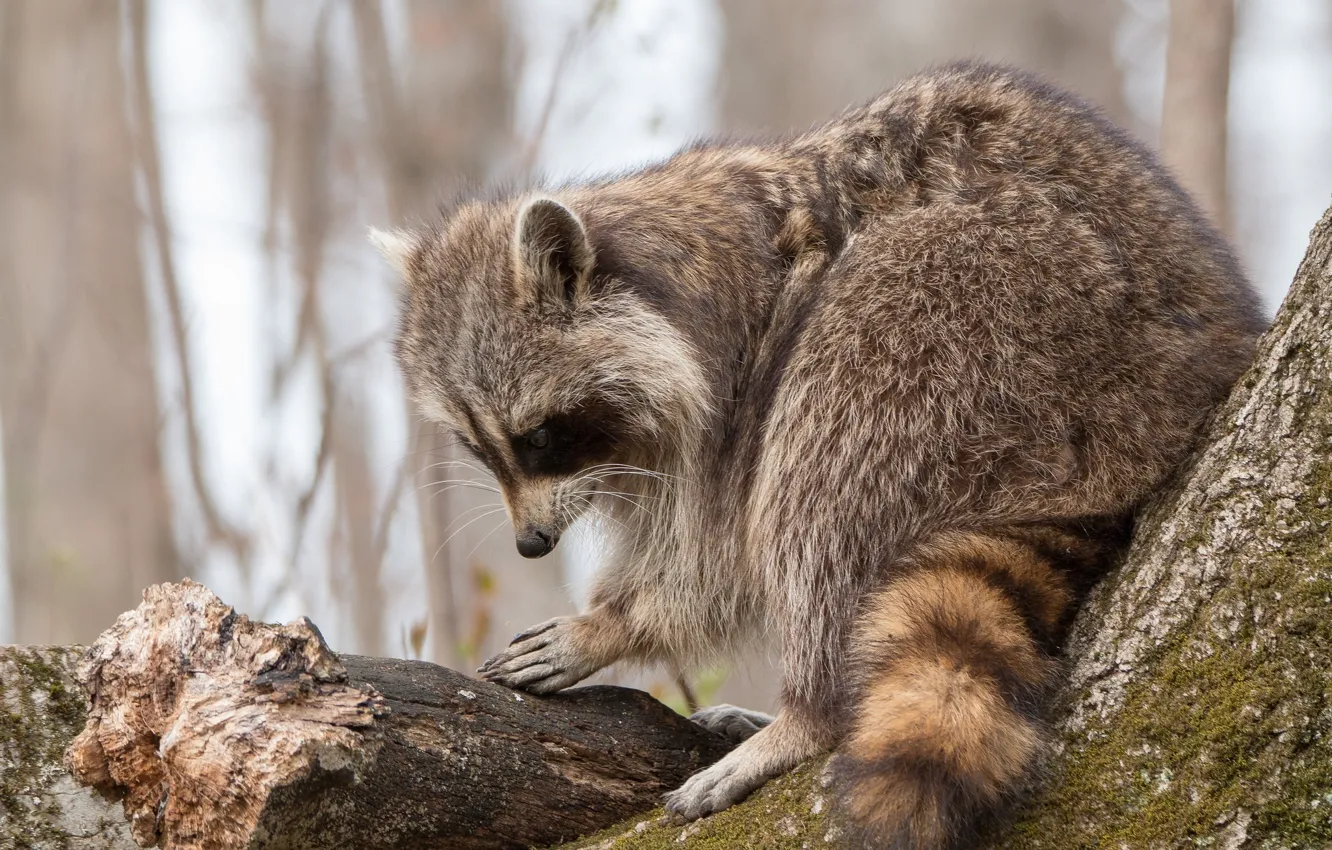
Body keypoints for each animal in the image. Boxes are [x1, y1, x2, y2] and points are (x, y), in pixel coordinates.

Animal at [372, 63, 1257, 847]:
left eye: (540, 437)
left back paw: (809, 713)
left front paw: (616, 623)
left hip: (1012, 314)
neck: (654, 258)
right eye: (479, 447)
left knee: (840, 425)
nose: (530, 544)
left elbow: (716, 555)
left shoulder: (736, 372)